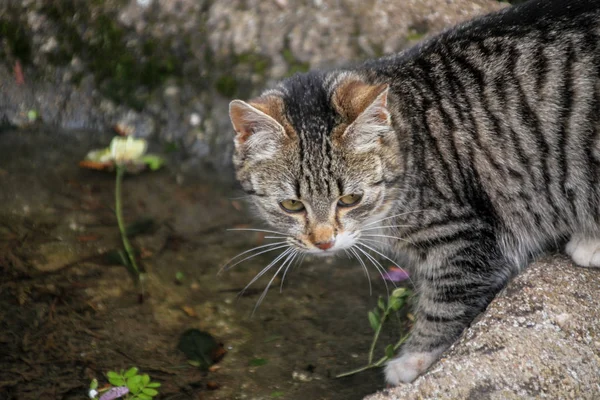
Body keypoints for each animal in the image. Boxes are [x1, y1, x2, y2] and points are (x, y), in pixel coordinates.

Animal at [227, 0, 600, 386]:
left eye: (350, 200)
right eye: (291, 205)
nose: (324, 242)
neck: (410, 141)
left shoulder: (464, 240)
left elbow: (445, 303)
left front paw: (412, 360)